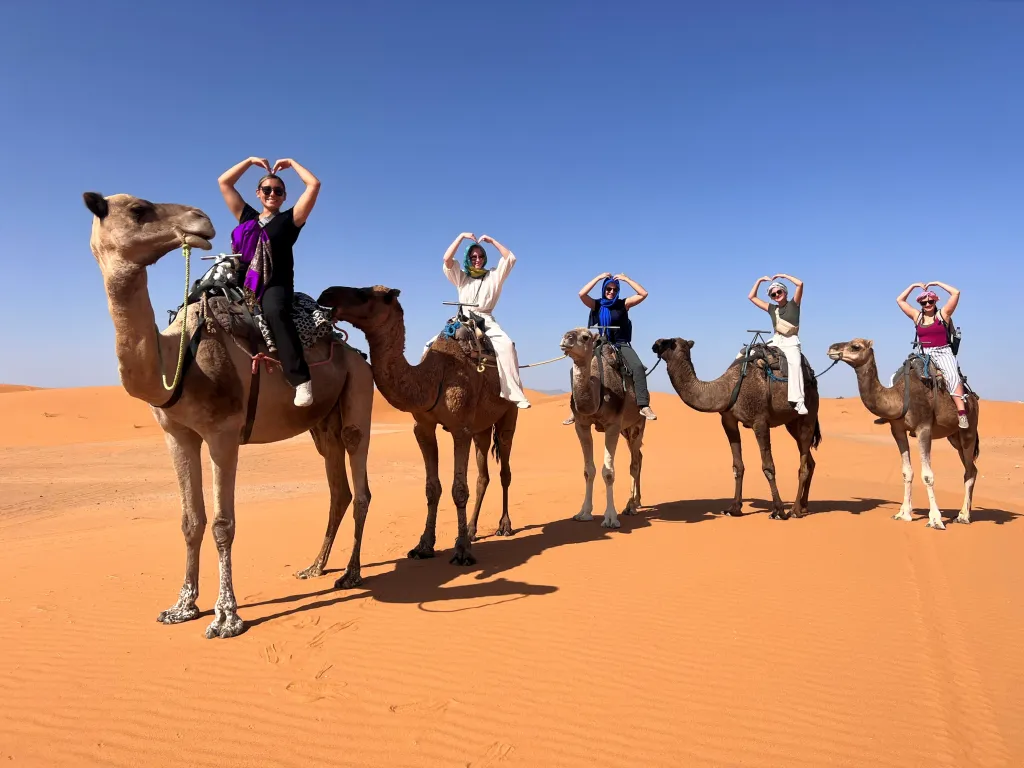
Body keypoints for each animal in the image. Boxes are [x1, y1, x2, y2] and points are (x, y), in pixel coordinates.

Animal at [81, 192, 374, 638]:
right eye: (138, 210)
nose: (200, 219)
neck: (178, 358)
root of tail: (354, 351)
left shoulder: (223, 433)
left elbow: (223, 523)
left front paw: (226, 616)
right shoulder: (177, 434)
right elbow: (190, 520)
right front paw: (182, 606)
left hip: (359, 391)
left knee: (360, 486)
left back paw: (352, 574)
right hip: (324, 424)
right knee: (337, 488)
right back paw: (315, 567)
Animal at [315, 284, 516, 565]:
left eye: (367, 293)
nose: (327, 294)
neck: (433, 378)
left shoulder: (461, 429)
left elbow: (459, 489)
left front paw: (462, 551)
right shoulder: (423, 428)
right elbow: (432, 488)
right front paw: (424, 546)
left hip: (509, 413)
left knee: (505, 469)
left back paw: (504, 526)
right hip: (482, 426)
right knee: (483, 474)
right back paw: (473, 529)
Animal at [557, 327, 643, 532]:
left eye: (585, 337)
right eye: (567, 332)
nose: (566, 339)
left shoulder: (613, 425)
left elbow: (608, 472)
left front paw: (611, 518)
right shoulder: (581, 425)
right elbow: (589, 470)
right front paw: (583, 513)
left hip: (638, 424)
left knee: (635, 463)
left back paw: (631, 506)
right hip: (626, 430)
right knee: (639, 457)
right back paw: (637, 502)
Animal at [655, 339, 823, 520]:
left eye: (667, 342)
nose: (654, 345)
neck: (727, 389)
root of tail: (812, 378)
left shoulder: (760, 421)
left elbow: (768, 467)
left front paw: (778, 510)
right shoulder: (728, 420)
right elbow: (737, 466)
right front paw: (734, 508)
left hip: (809, 413)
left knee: (803, 464)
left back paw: (795, 510)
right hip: (791, 423)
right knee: (810, 461)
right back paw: (804, 506)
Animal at [827, 342, 978, 528]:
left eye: (856, 346)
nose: (832, 348)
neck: (899, 397)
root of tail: (973, 398)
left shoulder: (924, 428)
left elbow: (927, 475)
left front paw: (935, 519)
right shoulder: (897, 430)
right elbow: (907, 472)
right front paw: (904, 514)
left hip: (969, 431)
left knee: (969, 470)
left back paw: (964, 516)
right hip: (954, 437)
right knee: (971, 469)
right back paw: (965, 514)